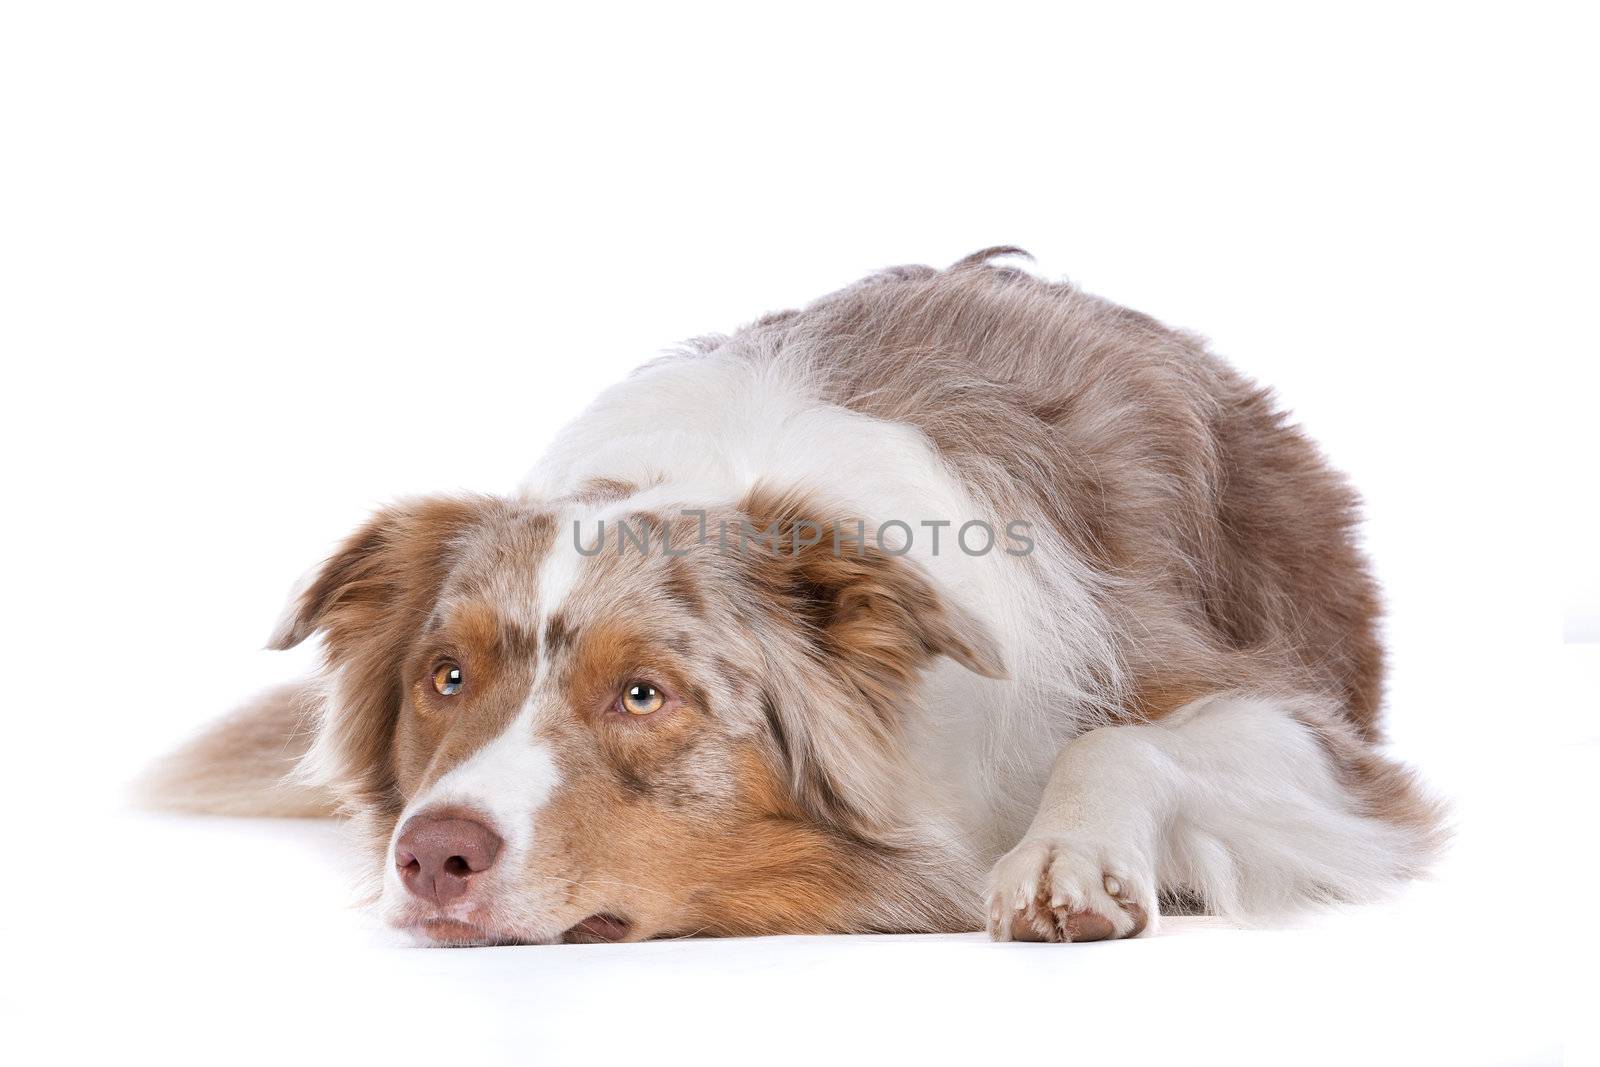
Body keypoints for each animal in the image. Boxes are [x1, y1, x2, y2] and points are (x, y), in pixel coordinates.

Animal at [147, 247, 1440, 940]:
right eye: (443, 676)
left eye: (644, 694)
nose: (432, 855)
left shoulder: (1308, 734)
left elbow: (1124, 739)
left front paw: (1067, 859)